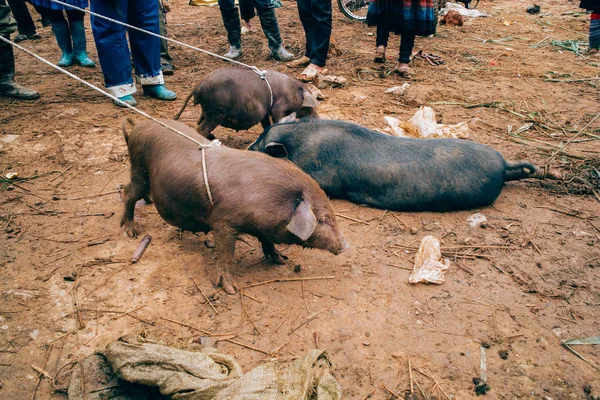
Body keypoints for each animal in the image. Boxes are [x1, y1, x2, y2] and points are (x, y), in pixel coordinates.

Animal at [120, 117, 350, 292]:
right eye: (323, 219)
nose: (345, 245)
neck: (271, 197)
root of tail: (139, 126)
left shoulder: (261, 226)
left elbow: (267, 242)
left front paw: (282, 260)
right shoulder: (223, 222)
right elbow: (226, 253)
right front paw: (230, 289)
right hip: (139, 168)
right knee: (128, 192)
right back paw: (130, 232)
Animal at [173, 66, 318, 140]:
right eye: (308, 107)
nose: (317, 118)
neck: (294, 92)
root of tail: (199, 84)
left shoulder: (265, 112)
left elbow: (266, 124)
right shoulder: (279, 108)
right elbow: (278, 120)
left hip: (207, 111)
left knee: (199, 123)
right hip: (216, 112)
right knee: (201, 129)